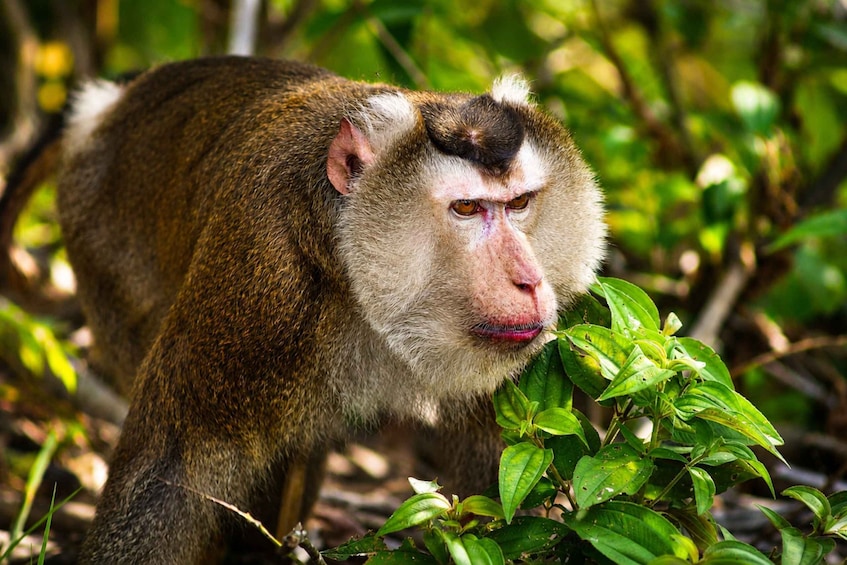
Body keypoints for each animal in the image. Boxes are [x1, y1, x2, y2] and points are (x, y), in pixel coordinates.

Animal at [0, 56, 605, 563]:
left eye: (519, 202)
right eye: (465, 208)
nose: (528, 280)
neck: (350, 269)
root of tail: (112, 107)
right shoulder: (255, 276)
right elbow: (173, 466)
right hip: (103, 249)